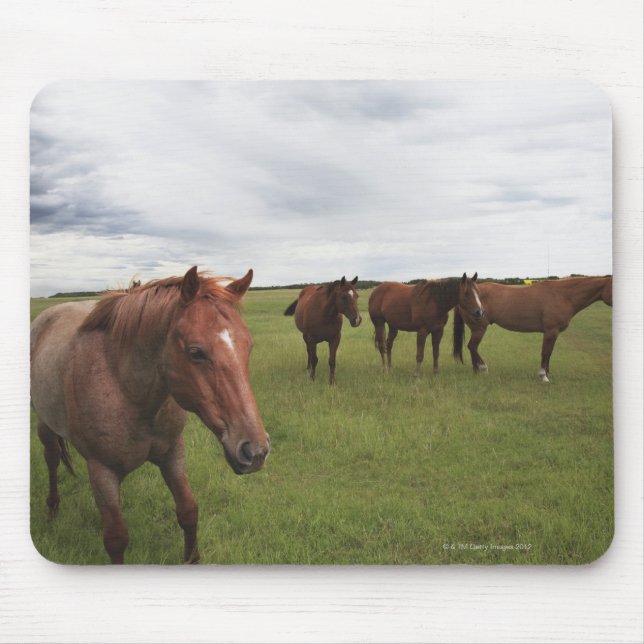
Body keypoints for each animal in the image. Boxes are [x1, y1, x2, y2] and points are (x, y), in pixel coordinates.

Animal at [30, 266, 271, 564]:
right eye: (196, 352)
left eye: (248, 346)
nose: (256, 451)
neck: (126, 390)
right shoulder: (101, 470)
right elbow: (116, 539)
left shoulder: (172, 454)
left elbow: (188, 511)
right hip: (44, 424)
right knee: (52, 459)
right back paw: (52, 509)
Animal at [452, 275, 613, 382]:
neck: (563, 295)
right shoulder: (551, 331)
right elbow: (545, 353)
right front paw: (543, 376)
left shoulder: (553, 333)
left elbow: (549, 354)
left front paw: (547, 373)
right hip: (479, 328)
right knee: (472, 346)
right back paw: (482, 369)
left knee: (472, 348)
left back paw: (476, 370)